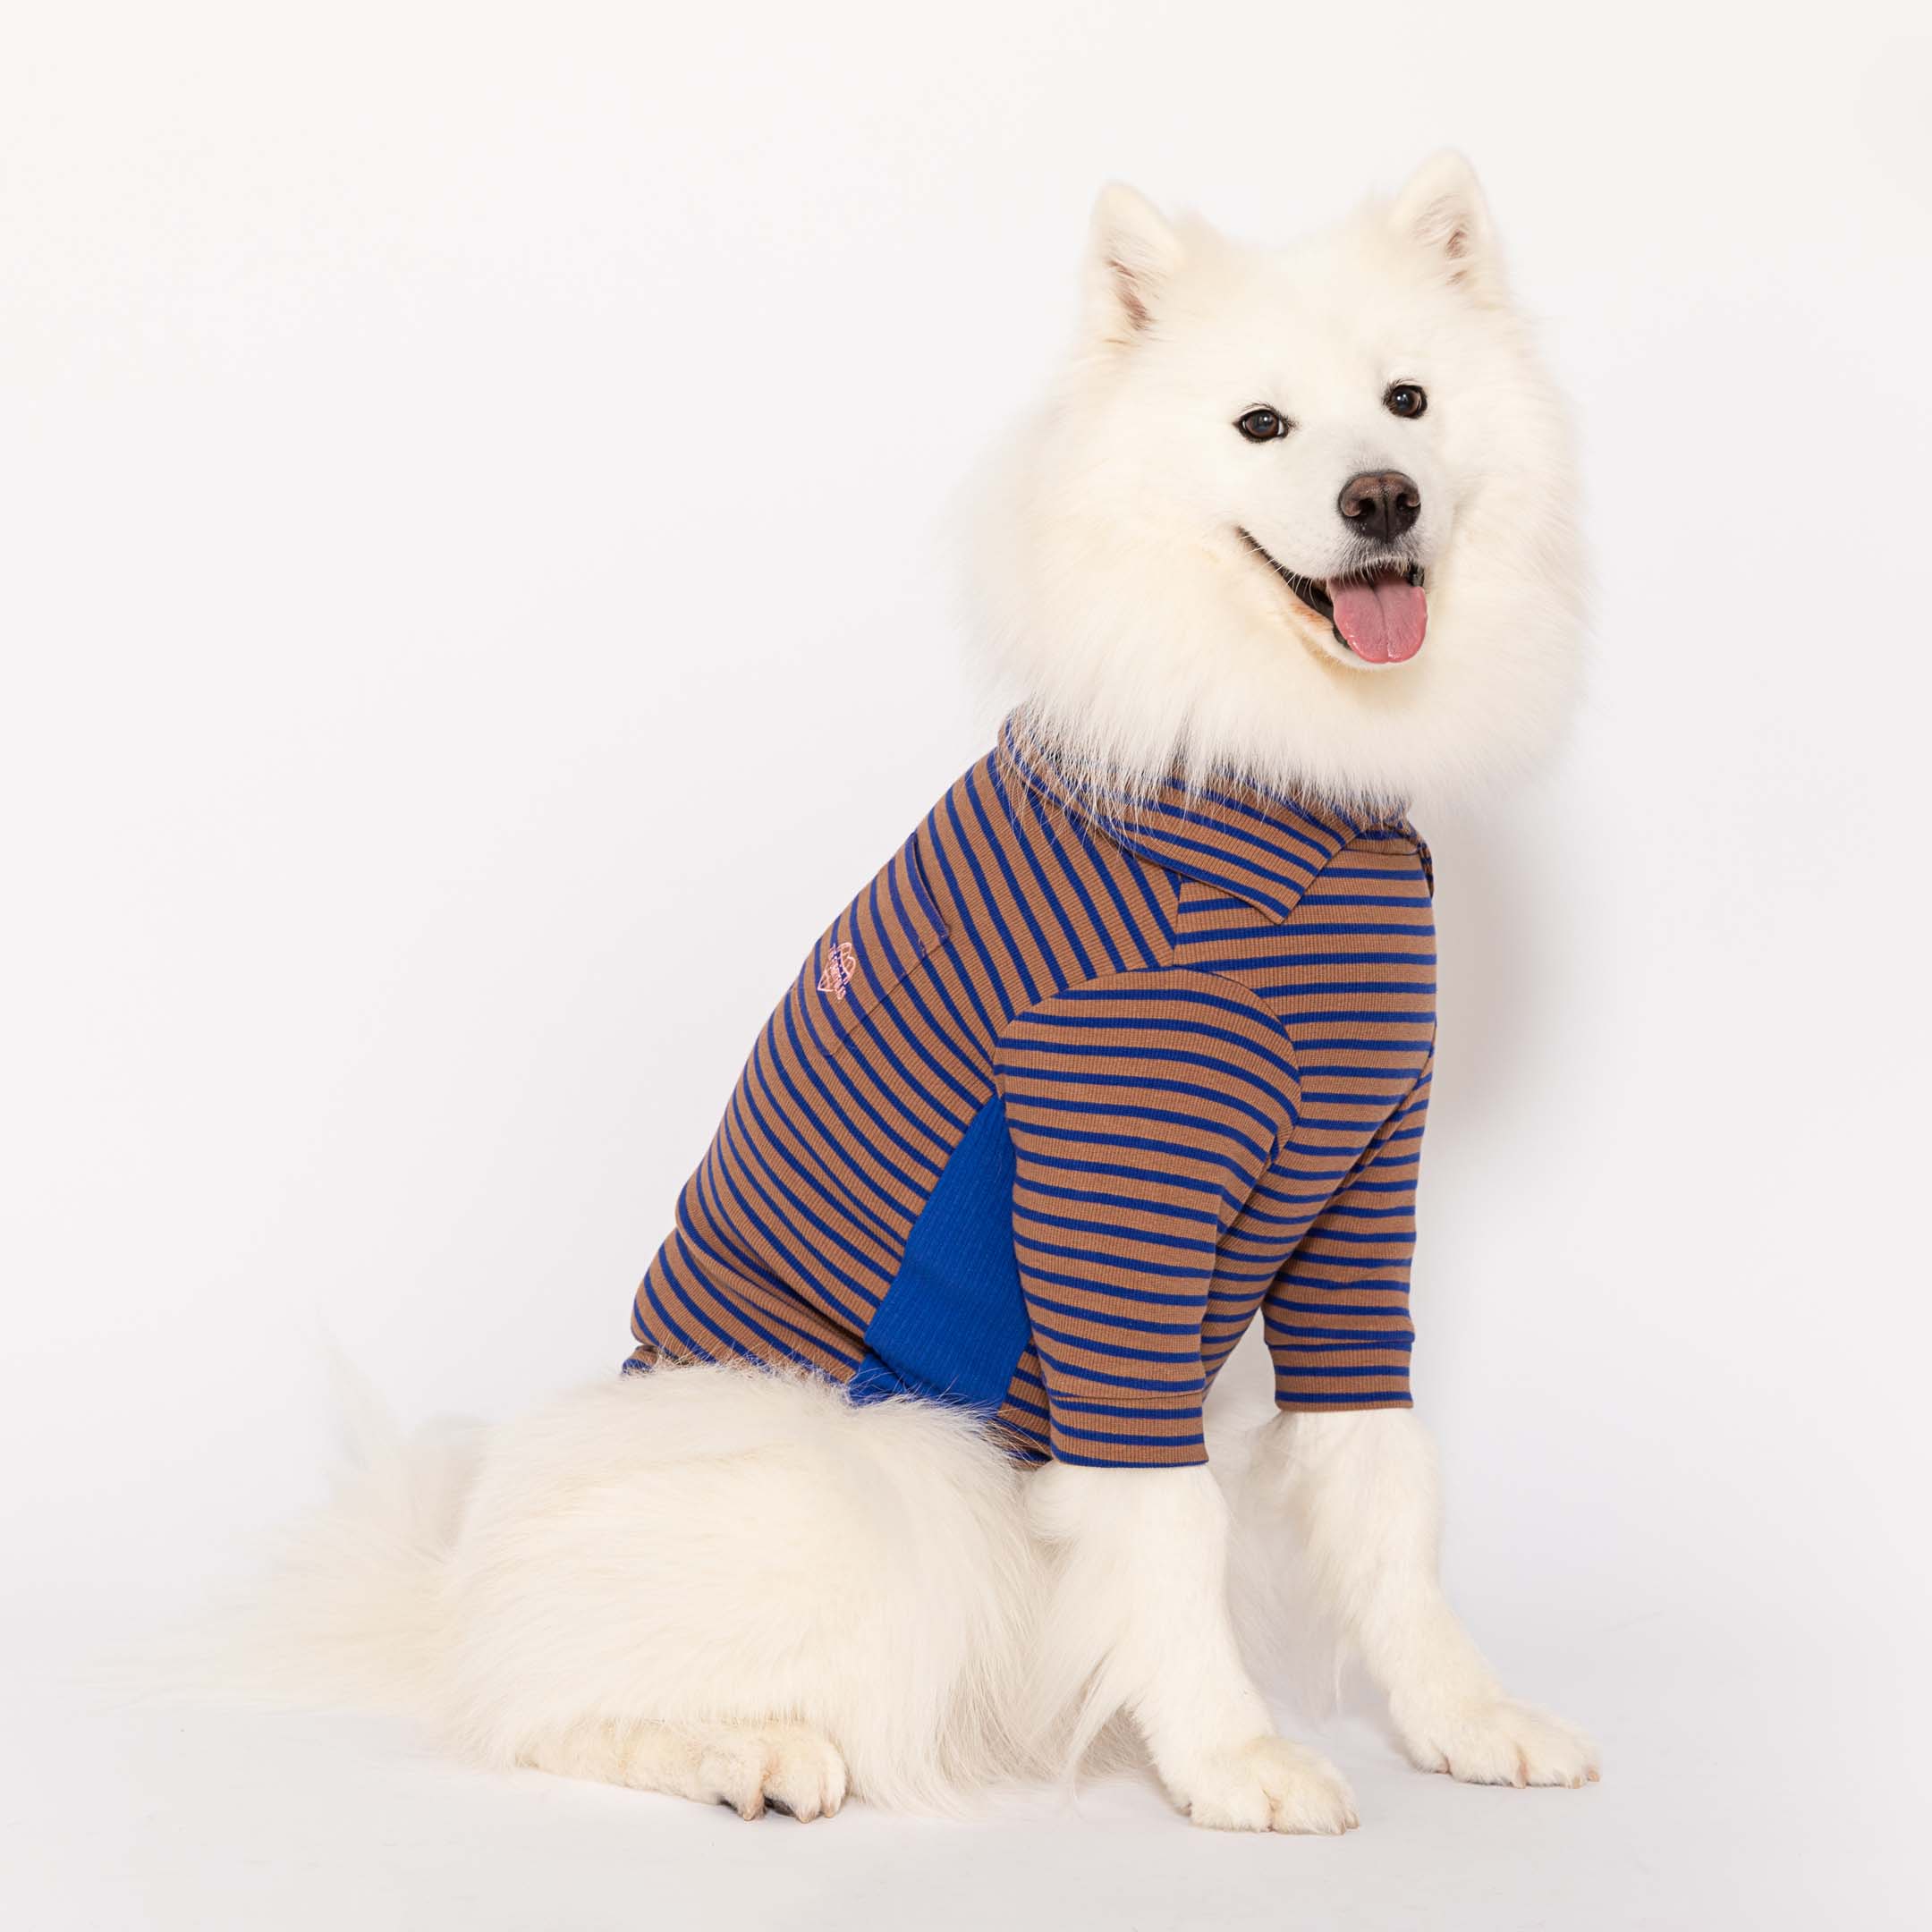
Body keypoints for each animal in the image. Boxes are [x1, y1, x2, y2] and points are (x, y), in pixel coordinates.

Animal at [272, 150, 1599, 1824]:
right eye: (1262, 426)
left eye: (1409, 400)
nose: (1382, 500)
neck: (1283, 787)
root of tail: (455, 1587)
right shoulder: (1116, 1203)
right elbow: (1169, 1523)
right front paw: (1232, 1757)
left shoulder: (1362, 1197)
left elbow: (1386, 1493)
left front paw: (1461, 1719)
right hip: (873, 1476)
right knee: (543, 1701)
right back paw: (745, 1752)